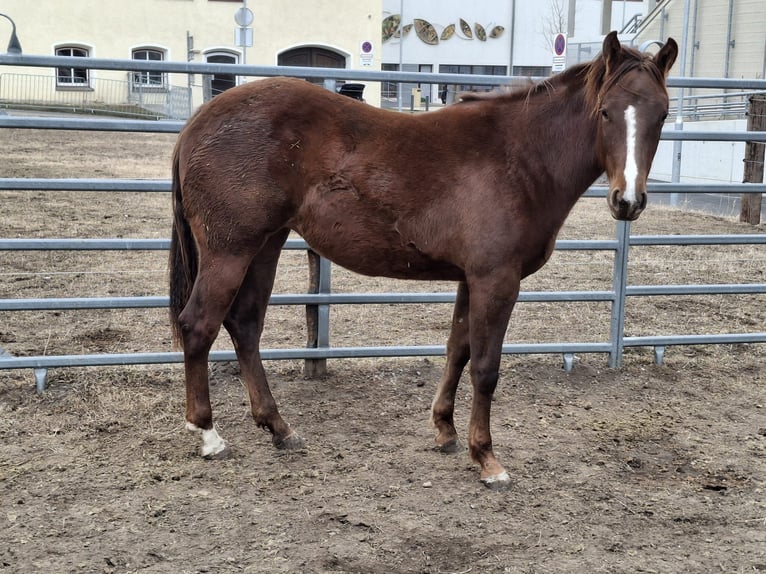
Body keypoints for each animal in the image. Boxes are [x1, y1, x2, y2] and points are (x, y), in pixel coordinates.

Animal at [169, 32, 677, 488]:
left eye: (663, 115)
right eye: (606, 111)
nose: (627, 202)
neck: (519, 157)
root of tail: (198, 121)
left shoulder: (471, 279)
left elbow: (457, 350)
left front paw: (445, 431)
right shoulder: (497, 279)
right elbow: (486, 367)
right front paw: (486, 457)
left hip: (266, 245)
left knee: (245, 325)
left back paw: (279, 428)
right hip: (230, 250)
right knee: (199, 324)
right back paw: (208, 433)